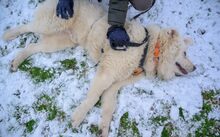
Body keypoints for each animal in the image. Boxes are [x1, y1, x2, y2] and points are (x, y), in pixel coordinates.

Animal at [2, 0, 196, 136]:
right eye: (185, 53)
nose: (195, 68)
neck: (147, 48)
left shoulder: (115, 84)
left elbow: (109, 106)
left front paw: (103, 129)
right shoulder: (106, 73)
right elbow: (93, 97)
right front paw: (78, 117)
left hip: (60, 42)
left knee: (32, 47)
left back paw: (16, 61)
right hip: (52, 23)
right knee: (28, 26)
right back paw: (8, 34)